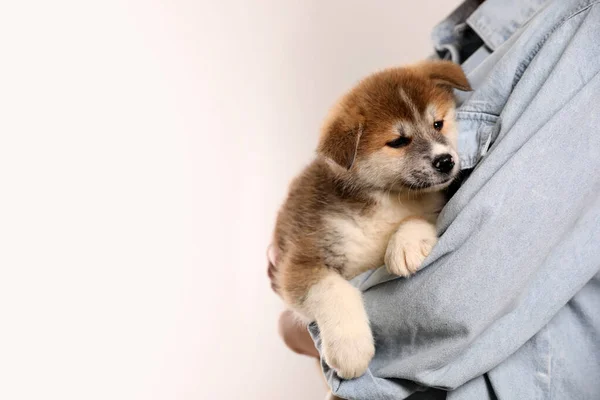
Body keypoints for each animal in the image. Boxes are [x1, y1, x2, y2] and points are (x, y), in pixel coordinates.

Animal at [274, 61, 474, 380]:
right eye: (398, 141)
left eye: (437, 124)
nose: (446, 161)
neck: (387, 200)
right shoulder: (301, 258)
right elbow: (331, 289)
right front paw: (350, 347)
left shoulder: (432, 208)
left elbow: (416, 219)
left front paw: (406, 245)